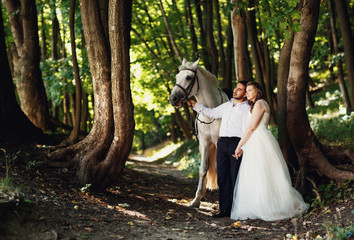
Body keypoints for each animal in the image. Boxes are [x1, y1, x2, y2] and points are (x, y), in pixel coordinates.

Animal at [169, 57, 230, 206]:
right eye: (177, 76)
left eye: (188, 77)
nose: (173, 99)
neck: (212, 111)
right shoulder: (204, 142)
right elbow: (203, 169)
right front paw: (196, 200)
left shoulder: (219, 143)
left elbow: (220, 169)